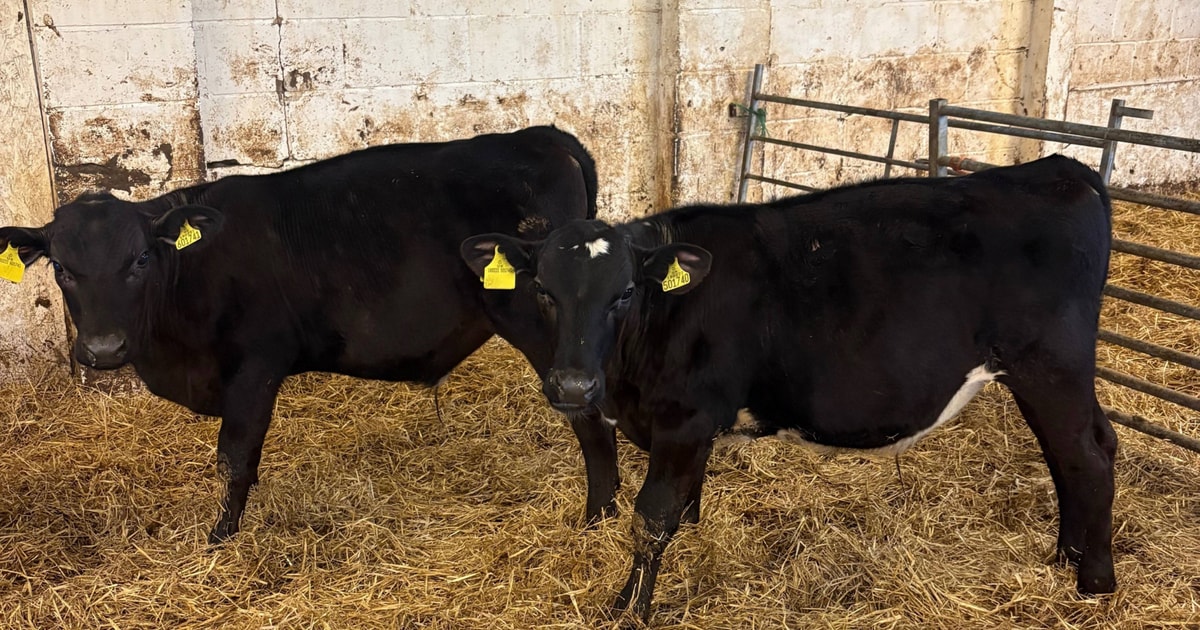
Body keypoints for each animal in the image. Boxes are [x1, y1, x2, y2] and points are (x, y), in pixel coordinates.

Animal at [0, 125, 596, 543]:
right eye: (61, 268)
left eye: (141, 259)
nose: (103, 349)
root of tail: (536, 136)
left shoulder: (255, 367)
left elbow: (235, 455)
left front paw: (221, 538)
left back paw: (596, 517)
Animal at [460, 154, 1116, 621]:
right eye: (543, 290)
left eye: (623, 293)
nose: (573, 385)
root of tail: (1058, 171)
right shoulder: (692, 429)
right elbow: (686, 505)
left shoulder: (683, 420)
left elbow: (651, 519)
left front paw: (627, 609)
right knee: (1079, 450)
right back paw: (1066, 555)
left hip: (1050, 366)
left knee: (1086, 457)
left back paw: (1094, 583)